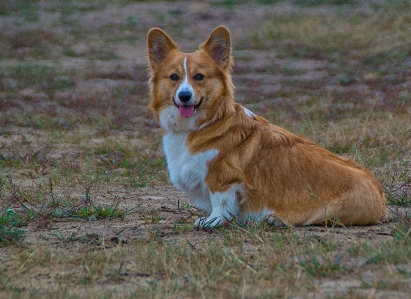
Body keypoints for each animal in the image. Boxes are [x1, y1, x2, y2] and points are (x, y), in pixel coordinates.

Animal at [146, 26, 388, 227]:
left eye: (199, 77)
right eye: (174, 77)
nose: (184, 96)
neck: (204, 123)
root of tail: (380, 197)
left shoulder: (223, 177)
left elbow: (220, 203)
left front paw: (211, 222)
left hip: (327, 211)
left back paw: (276, 219)